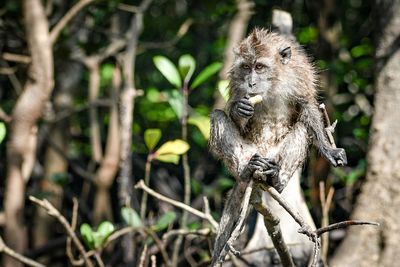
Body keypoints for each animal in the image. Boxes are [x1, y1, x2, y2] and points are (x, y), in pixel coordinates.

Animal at [209, 28, 346, 194]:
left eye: (259, 67)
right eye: (246, 67)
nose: (251, 83)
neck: (274, 82)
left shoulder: (299, 74)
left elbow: (307, 107)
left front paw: (328, 150)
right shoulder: (236, 78)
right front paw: (239, 109)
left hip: (274, 157)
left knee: (302, 128)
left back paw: (276, 181)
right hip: (250, 153)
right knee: (217, 115)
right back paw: (244, 172)